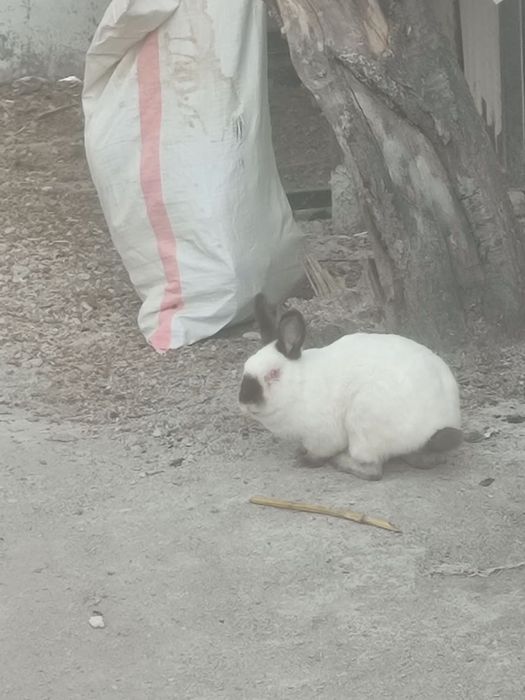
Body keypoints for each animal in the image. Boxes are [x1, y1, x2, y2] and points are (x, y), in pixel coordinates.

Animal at [238, 294, 462, 481]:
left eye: (273, 373)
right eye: (245, 366)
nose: (244, 401)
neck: (300, 385)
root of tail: (435, 428)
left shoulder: (322, 435)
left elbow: (319, 453)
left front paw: (303, 459)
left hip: (362, 425)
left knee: (373, 471)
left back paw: (340, 462)